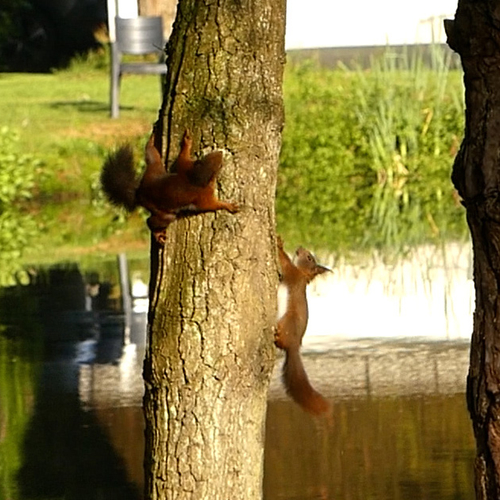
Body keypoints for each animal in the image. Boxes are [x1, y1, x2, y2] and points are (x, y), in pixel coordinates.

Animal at [100, 124, 239, 243]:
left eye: (205, 157)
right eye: (219, 165)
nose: (220, 152)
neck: (195, 177)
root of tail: (139, 192)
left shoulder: (186, 167)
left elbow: (182, 158)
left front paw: (187, 141)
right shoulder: (203, 196)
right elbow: (211, 205)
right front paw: (228, 205)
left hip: (154, 169)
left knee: (151, 154)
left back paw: (152, 139)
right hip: (163, 213)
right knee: (151, 221)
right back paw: (157, 233)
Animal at [274, 236, 332, 416]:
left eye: (309, 258)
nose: (299, 248)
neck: (301, 273)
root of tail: (293, 346)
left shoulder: (291, 272)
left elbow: (284, 262)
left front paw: (279, 245)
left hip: (288, 320)